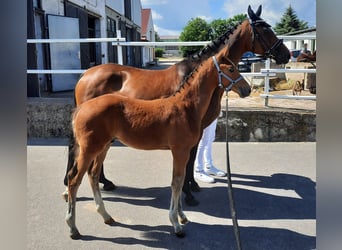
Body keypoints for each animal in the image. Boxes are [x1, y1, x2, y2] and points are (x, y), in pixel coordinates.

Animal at [62, 4, 290, 205]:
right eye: (264, 29)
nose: (286, 54)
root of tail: (85, 75)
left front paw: (192, 186)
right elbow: (189, 160)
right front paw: (189, 193)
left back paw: (104, 182)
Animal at [67, 41, 248, 238]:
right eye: (231, 69)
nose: (247, 89)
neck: (186, 107)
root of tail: (82, 108)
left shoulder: (182, 152)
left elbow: (180, 181)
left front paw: (182, 216)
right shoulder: (180, 151)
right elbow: (177, 182)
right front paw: (176, 224)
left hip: (104, 146)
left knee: (93, 175)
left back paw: (106, 216)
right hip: (89, 149)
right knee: (74, 180)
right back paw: (73, 227)